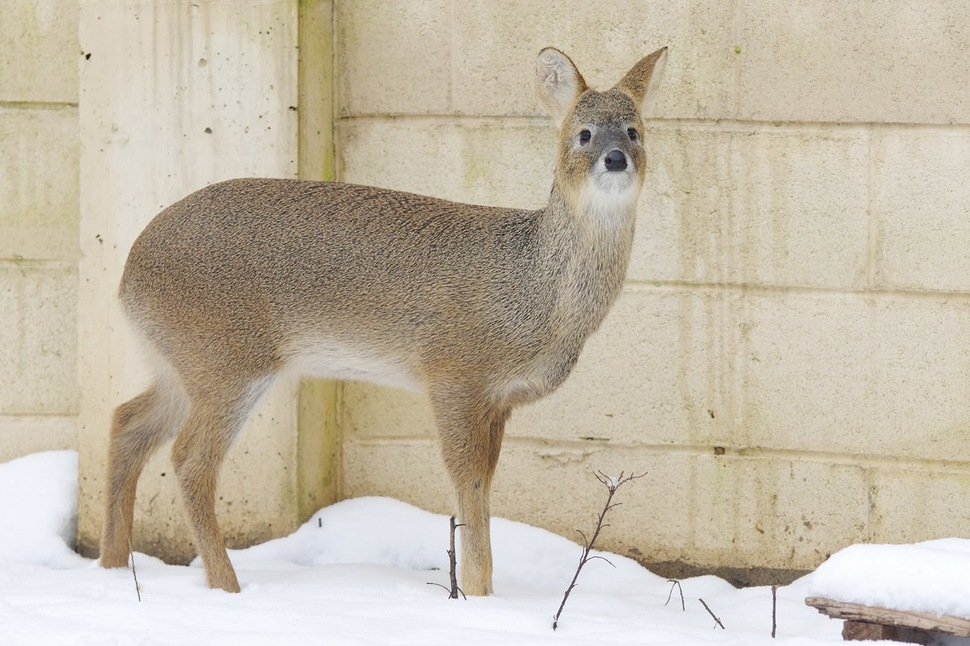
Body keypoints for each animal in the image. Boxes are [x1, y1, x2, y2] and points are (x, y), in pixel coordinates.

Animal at [102, 46, 668, 596]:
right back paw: (226, 586)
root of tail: (128, 275)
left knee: (128, 422)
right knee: (190, 459)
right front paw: (478, 595)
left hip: (179, 364)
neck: (535, 291)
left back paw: (112, 567)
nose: (615, 158)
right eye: (584, 133)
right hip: (226, 360)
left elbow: (485, 487)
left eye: (634, 129)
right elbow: (467, 486)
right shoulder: (453, 377)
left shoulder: (499, 401)